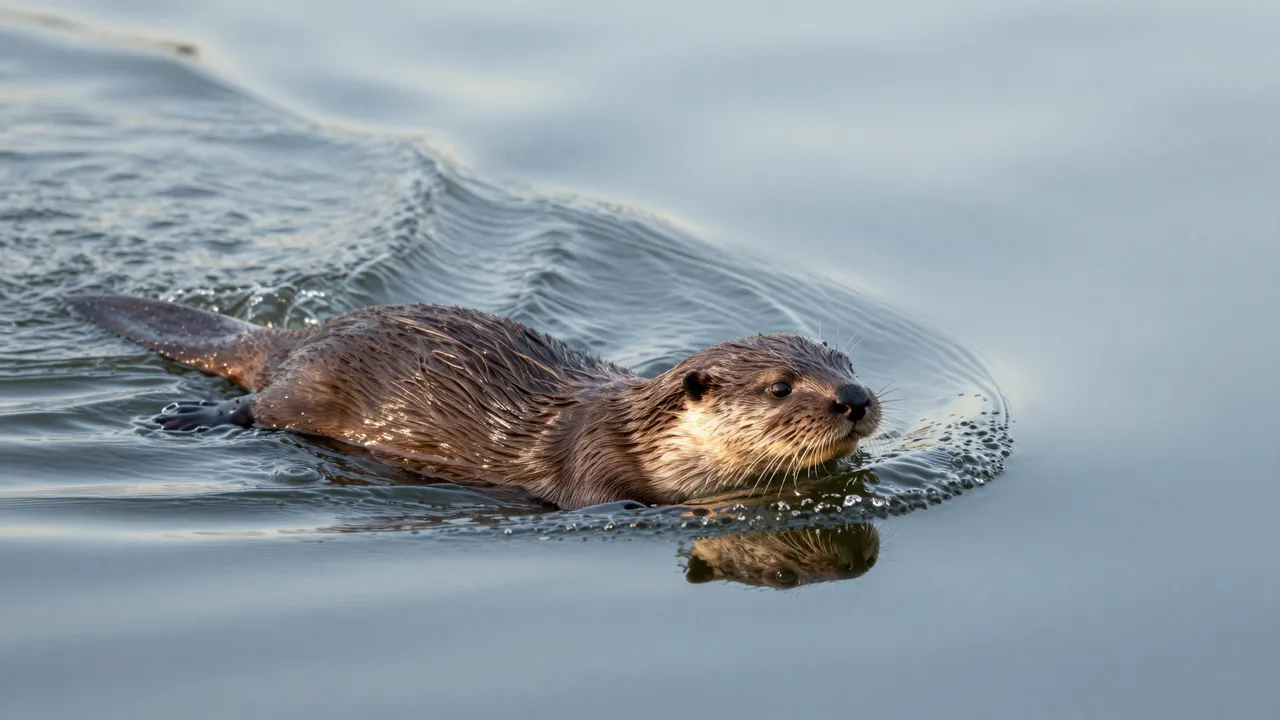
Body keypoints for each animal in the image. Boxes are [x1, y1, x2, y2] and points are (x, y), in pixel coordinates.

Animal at [64, 295, 881, 509]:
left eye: (848, 362)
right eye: (780, 387)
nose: (855, 399)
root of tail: (302, 336)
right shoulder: (593, 470)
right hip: (303, 392)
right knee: (259, 408)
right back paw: (193, 418)